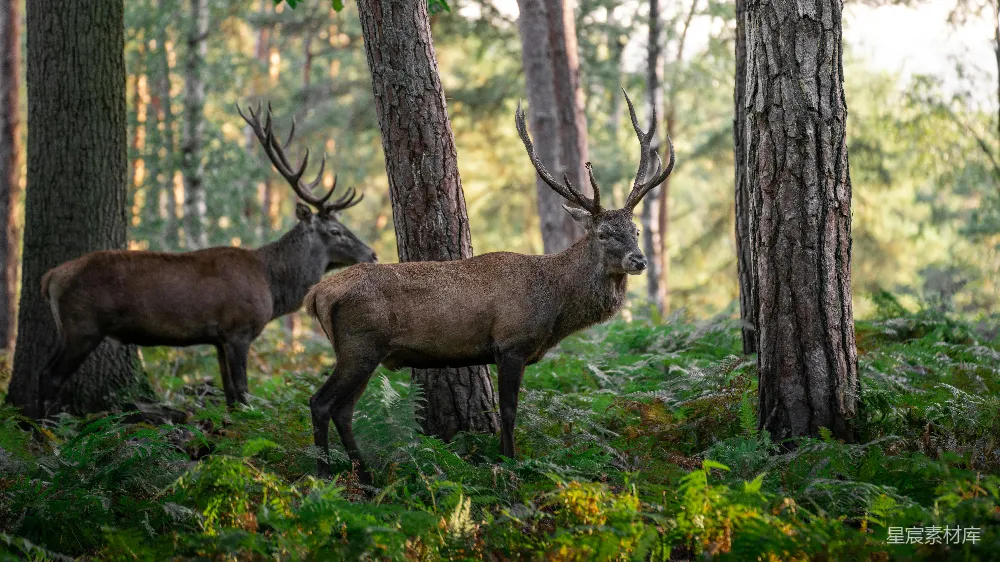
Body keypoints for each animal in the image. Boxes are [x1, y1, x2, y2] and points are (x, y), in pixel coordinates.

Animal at [36, 103, 377, 417]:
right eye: (336, 231)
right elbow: (243, 391)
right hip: (82, 325)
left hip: (70, 328)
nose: (372, 254)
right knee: (50, 376)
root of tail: (50, 277)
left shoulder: (218, 340)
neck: (272, 285)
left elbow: (229, 395)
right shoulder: (238, 330)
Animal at [302, 89, 674, 482]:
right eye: (603, 233)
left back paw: (365, 476)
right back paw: (324, 473)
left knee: (343, 410)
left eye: (635, 231)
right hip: (359, 345)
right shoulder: (511, 342)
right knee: (321, 402)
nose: (639, 260)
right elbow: (508, 411)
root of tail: (316, 294)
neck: (554, 306)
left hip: (363, 351)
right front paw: (509, 464)